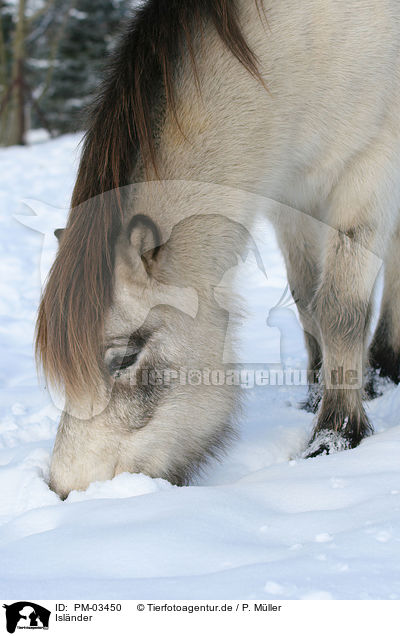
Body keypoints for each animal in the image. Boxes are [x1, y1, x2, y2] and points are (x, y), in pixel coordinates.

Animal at [35, 0, 400, 496]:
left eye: (125, 358)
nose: (66, 487)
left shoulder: (370, 171)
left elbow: (341, 310)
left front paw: (336, 436)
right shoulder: (292, 196)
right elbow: (308, 300)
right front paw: (316, 397)